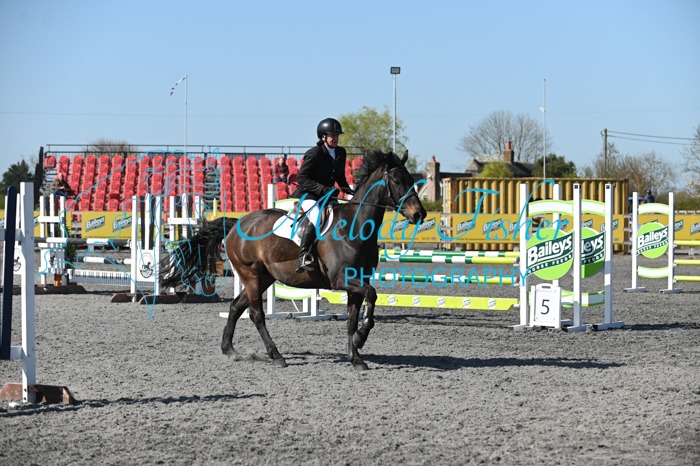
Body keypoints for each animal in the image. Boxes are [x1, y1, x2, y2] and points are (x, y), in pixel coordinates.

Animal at [160, 150, 427, 370]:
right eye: (397, 181)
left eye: (412, 181)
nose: (419, 214)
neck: (355, 227)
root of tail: (237, 223)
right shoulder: (341, 280)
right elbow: (372, 296)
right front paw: (361, 339)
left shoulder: (357, 282)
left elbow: (353, 317)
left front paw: (356, 357)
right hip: (251, 275)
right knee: (256, 315)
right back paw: (276, 356)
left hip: (264, 278)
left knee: (236, 307)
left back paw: (230, 350)